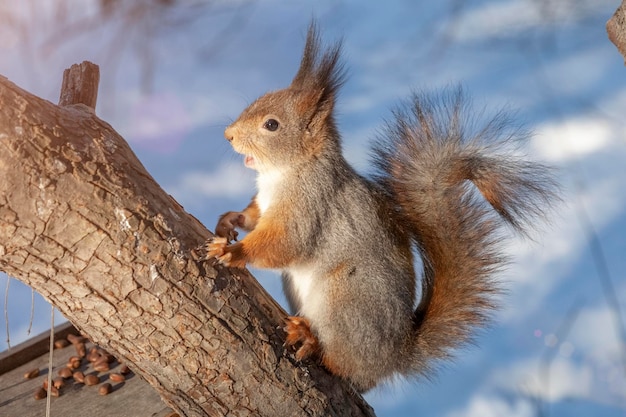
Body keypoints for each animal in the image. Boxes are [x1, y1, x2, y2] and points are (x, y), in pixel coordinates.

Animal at [202, 22, 552, 392]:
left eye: (272, 124)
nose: (228, 135)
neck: (284, 172)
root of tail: (392, 358)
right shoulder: (266, 204)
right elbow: (254, 216)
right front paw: (230, 220)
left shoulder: (311, 204)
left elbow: (285, 243)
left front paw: (234, 252)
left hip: (347, 299)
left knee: (343, 364)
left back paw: (311, 340)